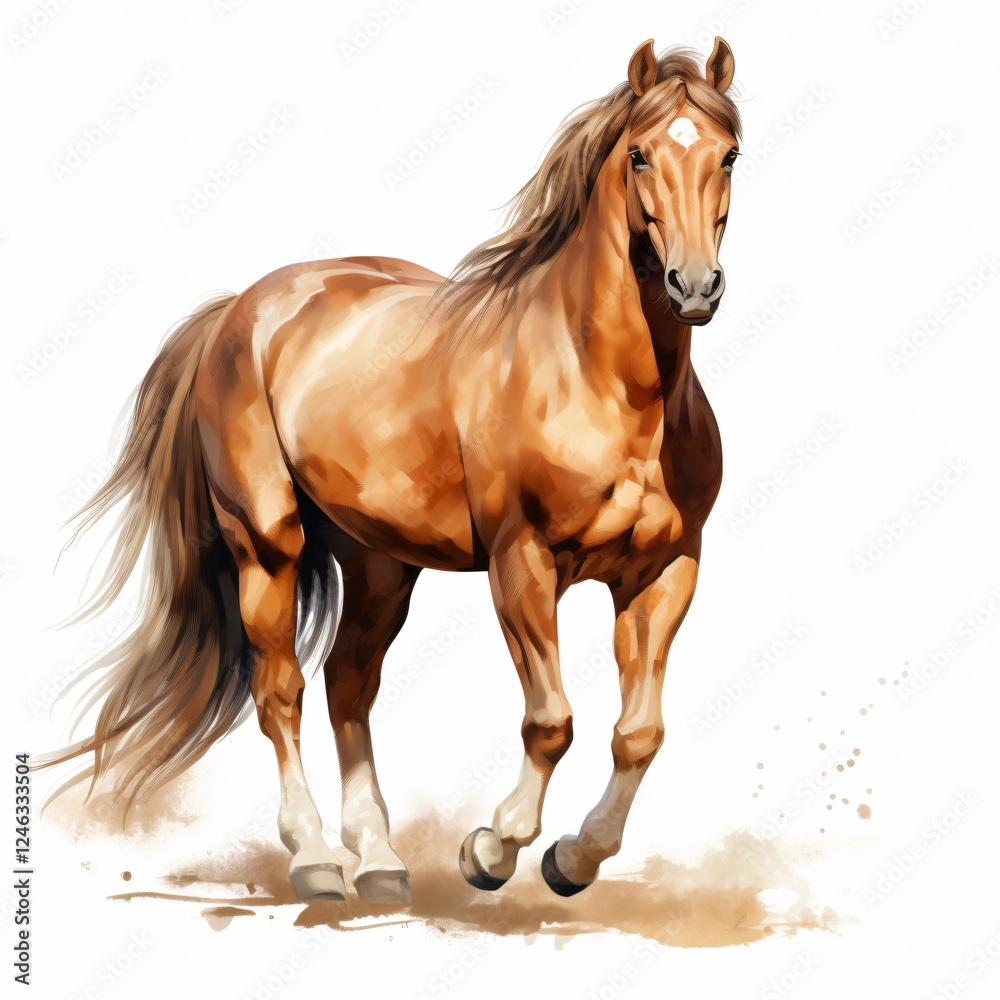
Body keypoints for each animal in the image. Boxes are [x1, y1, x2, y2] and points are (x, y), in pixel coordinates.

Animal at [42, 37, 742, 905]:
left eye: (729, 154)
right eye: (641, 154)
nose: (694, 287)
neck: (605, 385)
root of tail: (238, 309)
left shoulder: (665, 570)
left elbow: (639, 733)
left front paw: (573, 860)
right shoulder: (522, 562)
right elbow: (551, 721)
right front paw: (492, 850)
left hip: (379, 563)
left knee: (348, 683)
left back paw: (378, 864)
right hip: (266, 545)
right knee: (281, 690)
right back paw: (314, 858)